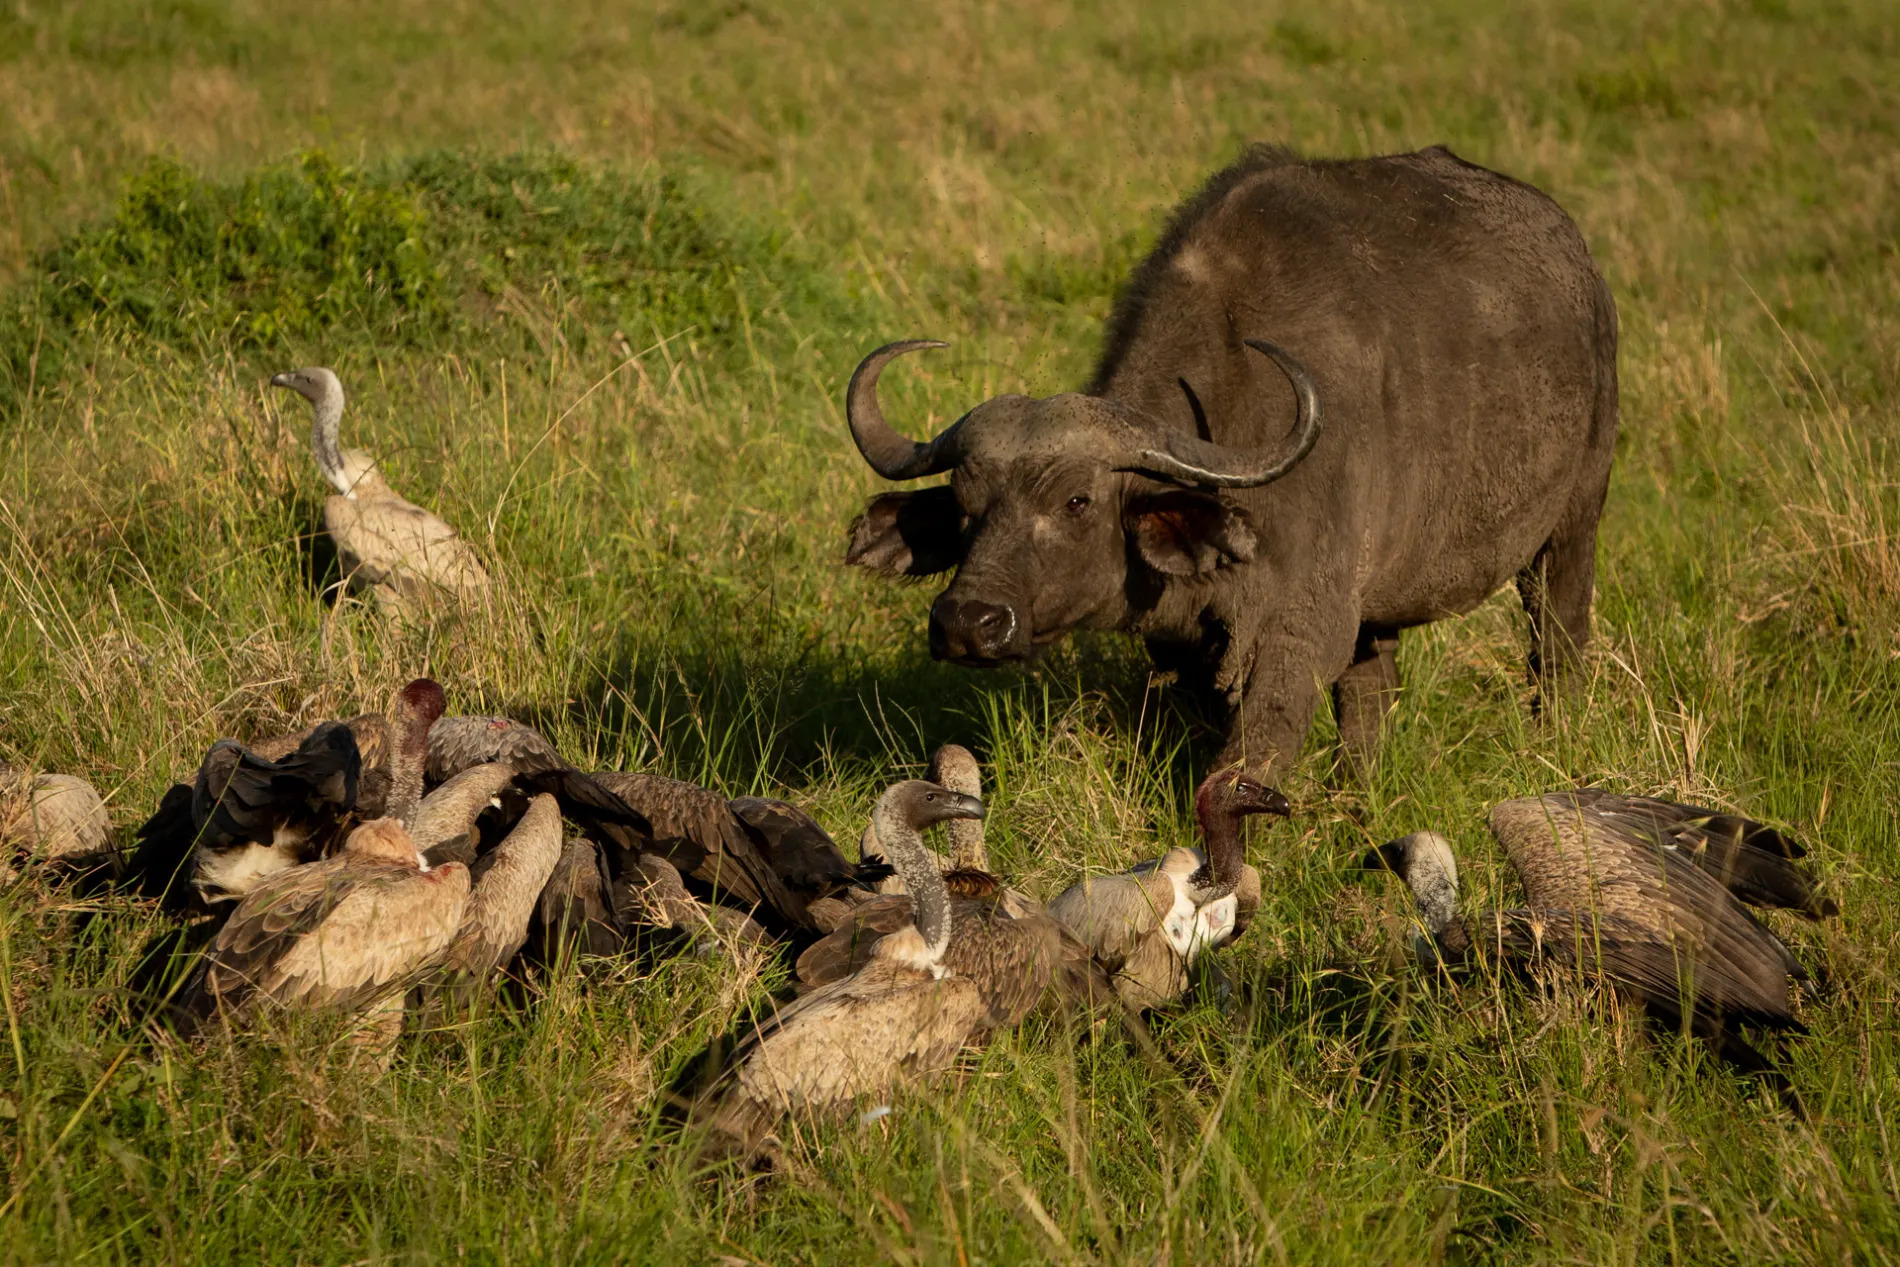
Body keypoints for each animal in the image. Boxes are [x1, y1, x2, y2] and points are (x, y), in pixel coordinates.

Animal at [847, 143, 1618, 778]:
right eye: (965, 505)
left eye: (1076, 501)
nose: (966, 622)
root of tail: (1582, 264)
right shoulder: (1188, 644)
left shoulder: (1298, 634)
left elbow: (1246, 763)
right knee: (1372, 686)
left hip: (1574, 523)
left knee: (1558, 640)